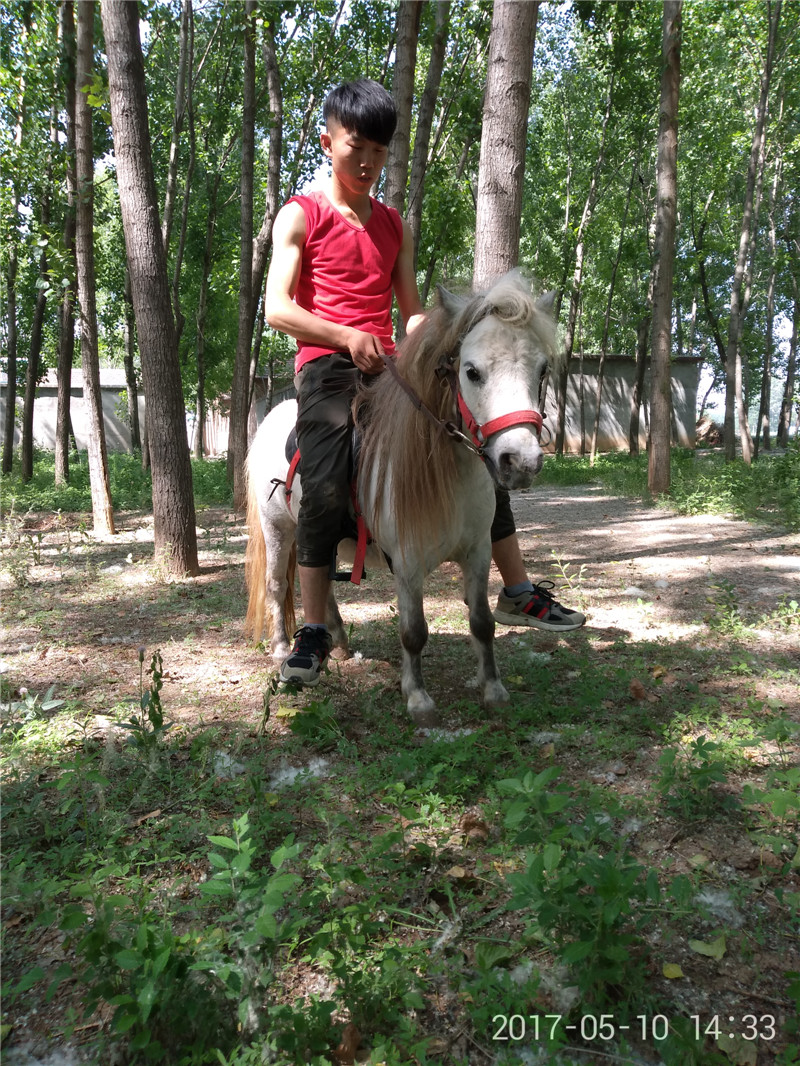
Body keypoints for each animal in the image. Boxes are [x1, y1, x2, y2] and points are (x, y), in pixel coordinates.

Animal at [247, 275, 558, 724]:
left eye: (542, 369)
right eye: (472, 371)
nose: (520, 462)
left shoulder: (478, 554)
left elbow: (482, 621)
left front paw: (493, 688)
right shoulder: (408, 565)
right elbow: (413, 631)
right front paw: (418, 697)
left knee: (321, 582)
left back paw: (336, 642)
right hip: (279, 529)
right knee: (278, 584)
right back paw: (286, 650)